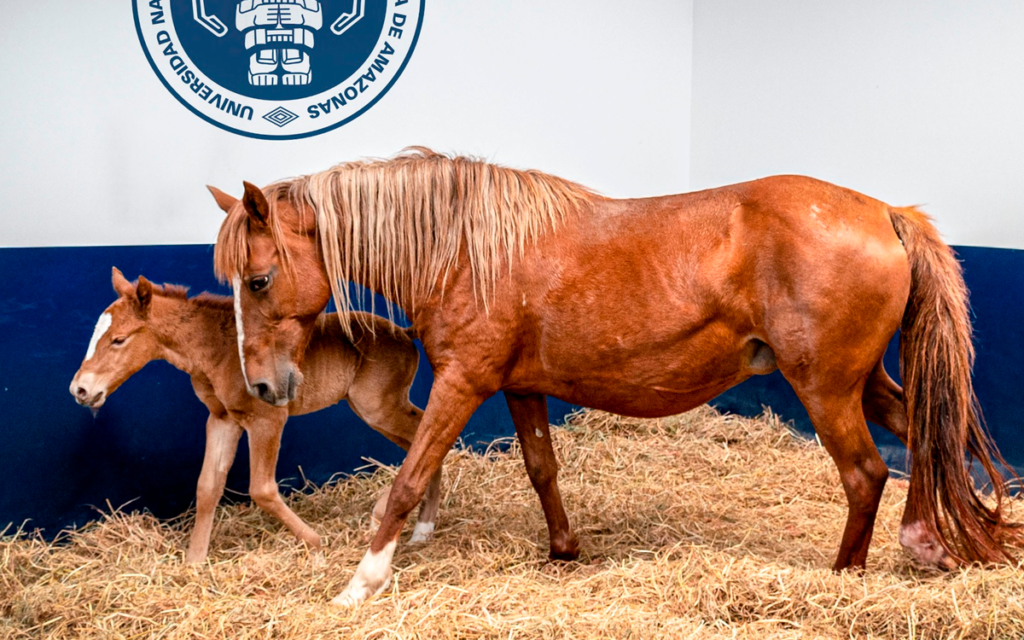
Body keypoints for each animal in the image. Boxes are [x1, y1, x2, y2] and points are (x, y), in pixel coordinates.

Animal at [71, 266, 440, 561]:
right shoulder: (222, 419)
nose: (80, 390)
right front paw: (194, 563)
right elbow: (208, 486)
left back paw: (391, 515)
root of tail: (405, 334)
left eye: (119, 340)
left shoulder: (267, 420)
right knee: (422, 443)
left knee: (428, 439)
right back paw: (419, 526)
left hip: (378, 407)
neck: (217, 351)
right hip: (374, 409)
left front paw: (316, 544)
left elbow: (261, 489)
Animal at [207, 148, 1015, 602]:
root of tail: (886, 212)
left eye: (258, 280)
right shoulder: (519, 385)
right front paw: (564, 550)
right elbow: (542, 469)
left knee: (866, 473)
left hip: (825, 386)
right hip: (860, 382)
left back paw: (845, 575)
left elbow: (407, 482)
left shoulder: (463, 383)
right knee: (923, 438)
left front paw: (362, 582)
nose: (263, 388)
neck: (465, 249)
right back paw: (927, 542)